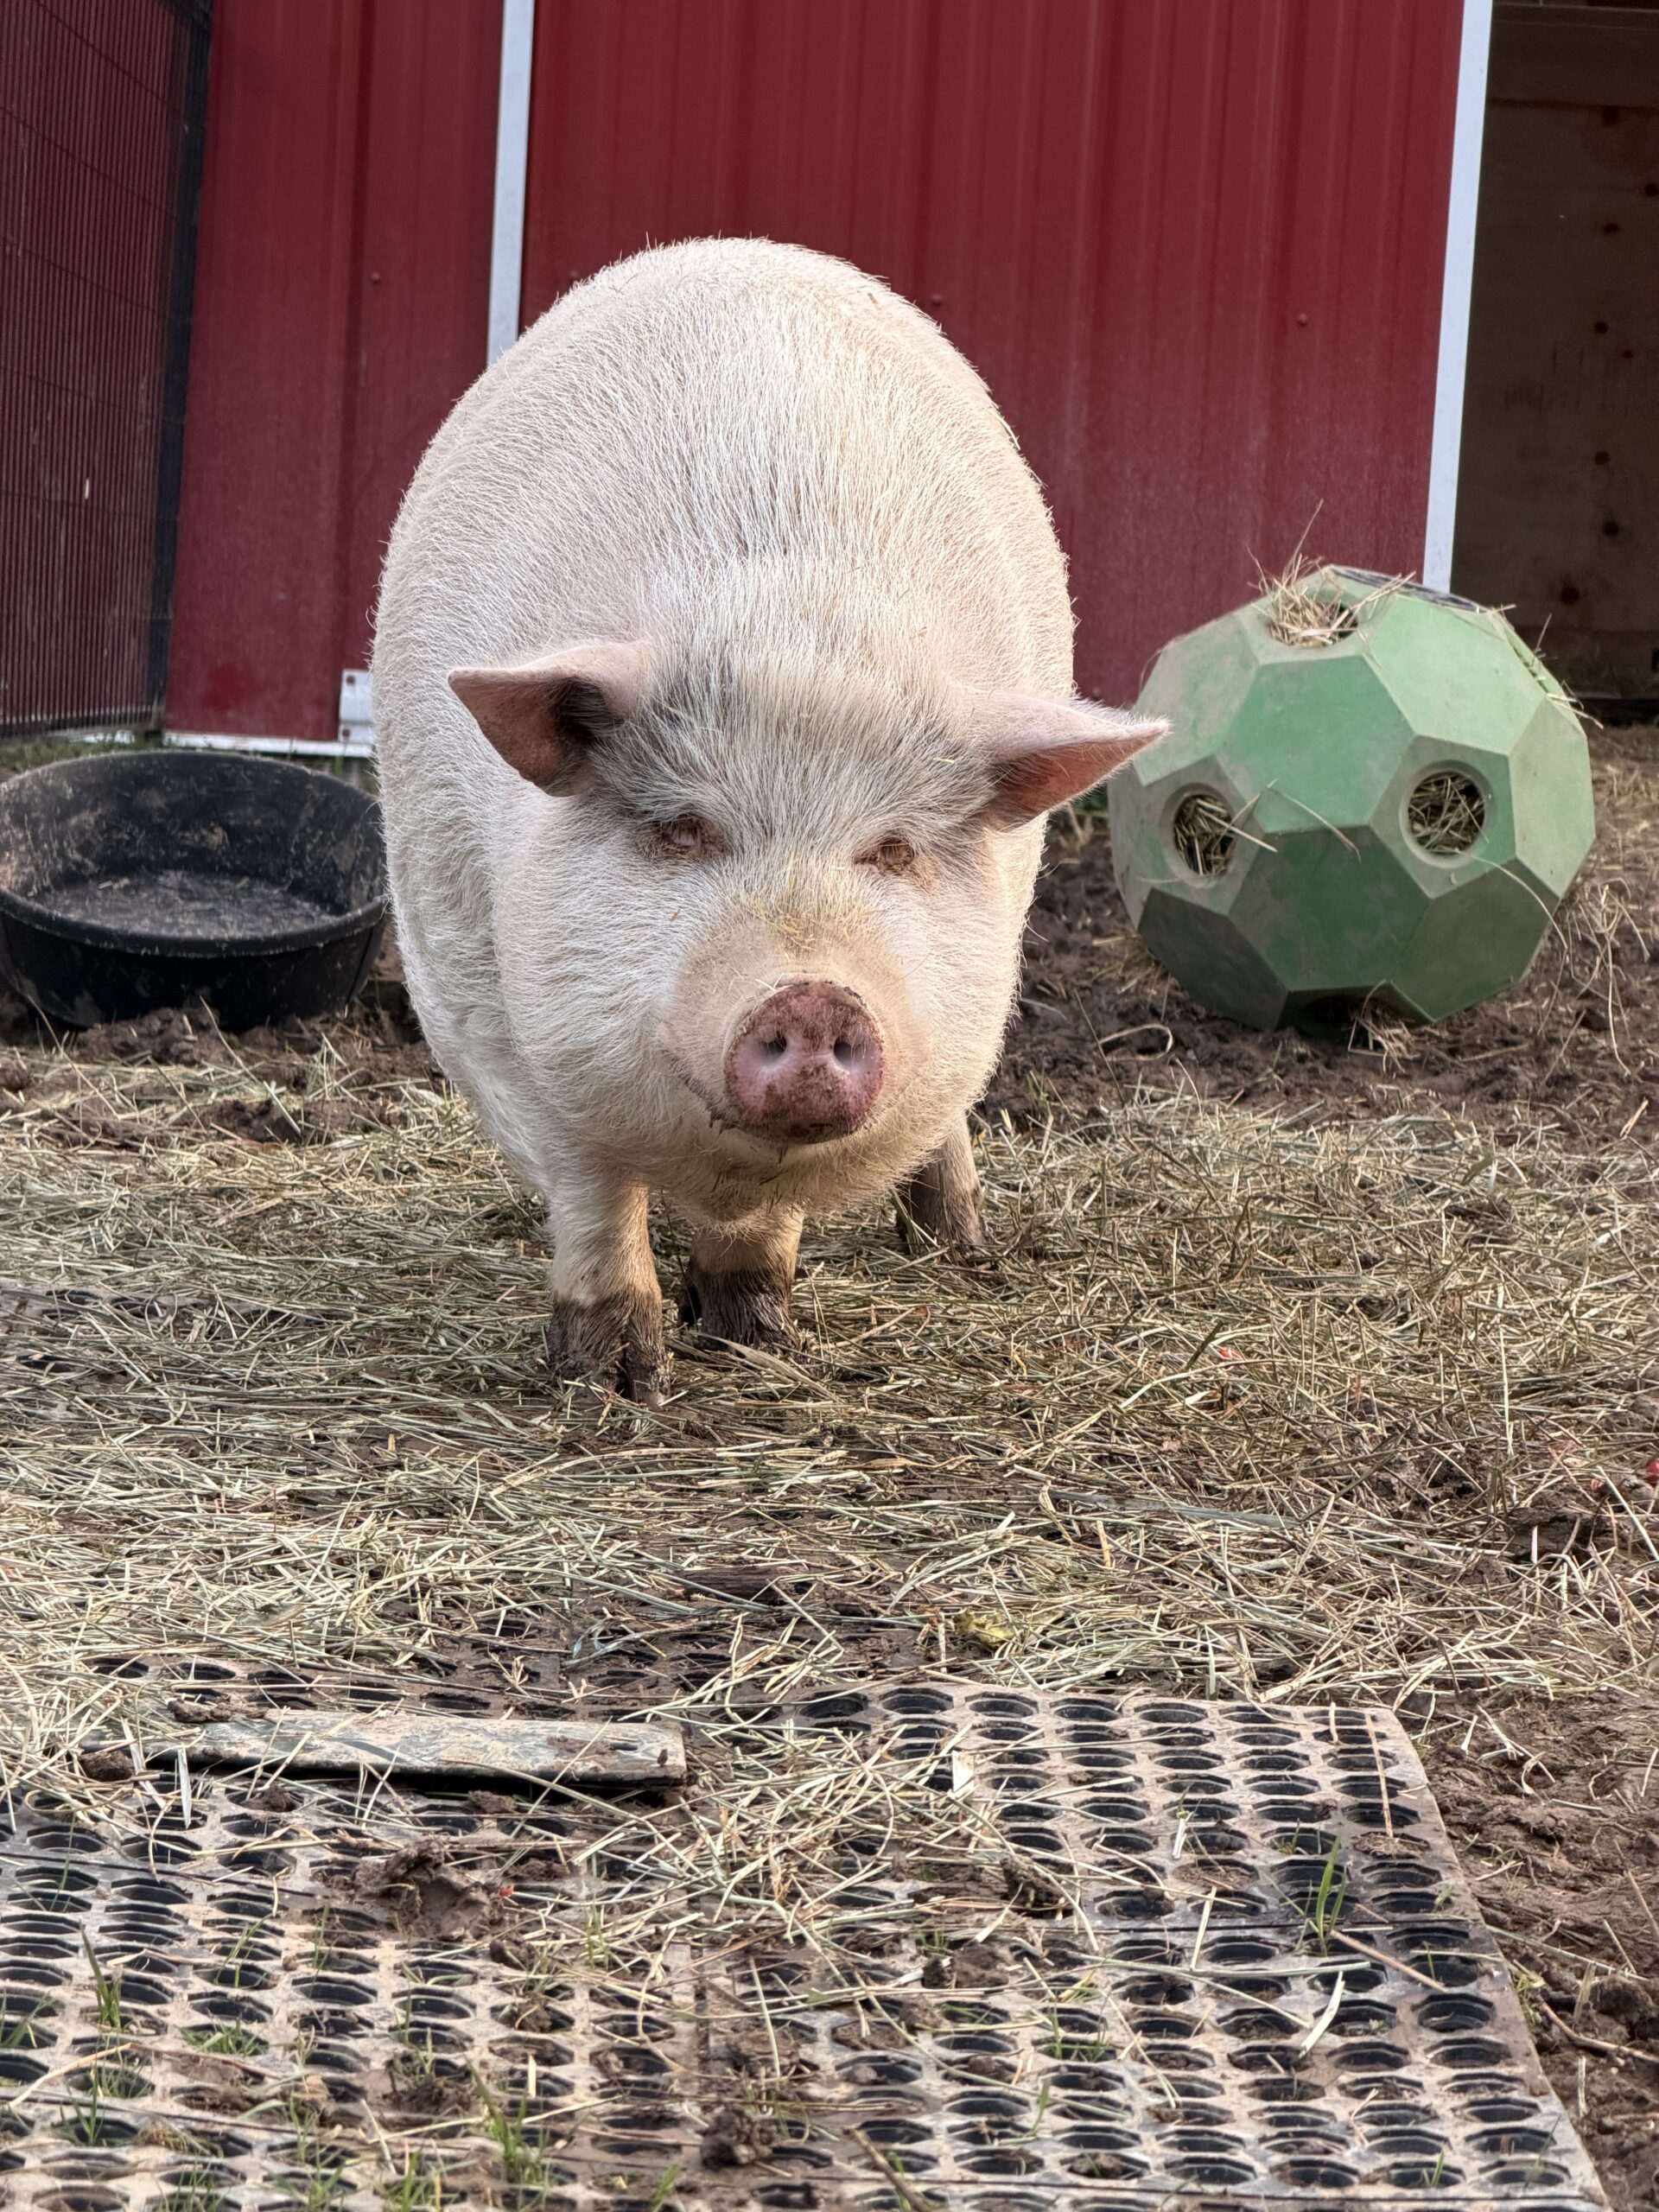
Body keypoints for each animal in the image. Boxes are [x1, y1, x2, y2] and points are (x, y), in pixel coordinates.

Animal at [372, 239, 1163, 1403]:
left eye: (892, 847)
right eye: (683, 829)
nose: (815, 994)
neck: (791, 623)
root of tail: (743, 251)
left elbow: (772, 1220)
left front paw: (753, 1335)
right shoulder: (480, 991)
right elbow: (589, 1180)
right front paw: (615, 1380)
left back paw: (961, 1245)